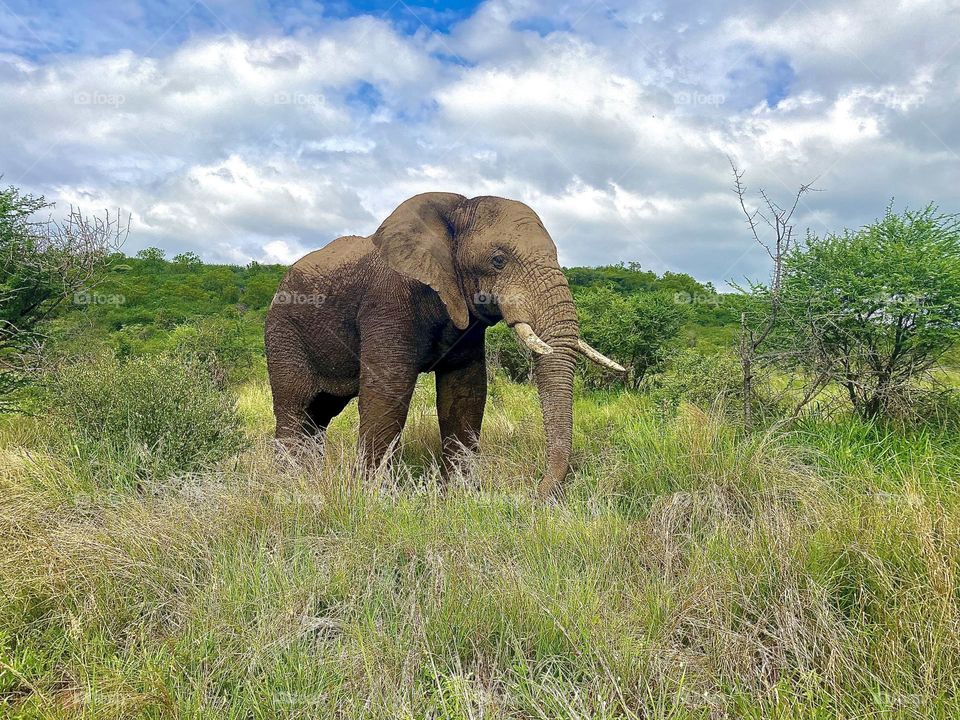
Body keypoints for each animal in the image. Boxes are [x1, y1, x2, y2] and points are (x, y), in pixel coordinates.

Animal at [262, 191, 624, 498]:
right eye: (498, 260)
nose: (533, 493)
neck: (457, 211)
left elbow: (465, 391)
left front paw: (461, 496)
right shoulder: (386, 300)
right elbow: (389, 391)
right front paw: (372, 498)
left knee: (318, 415)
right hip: (282, 331)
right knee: (295, 408)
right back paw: (289, 485)